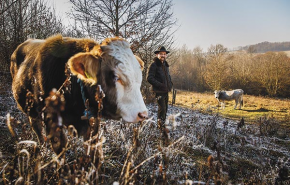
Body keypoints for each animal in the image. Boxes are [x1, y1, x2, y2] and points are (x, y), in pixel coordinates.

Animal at [10, 34, 148, 153]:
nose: (142, 114)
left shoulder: (93, 124)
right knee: (37, 127)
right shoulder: (51, 121)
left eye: (139, 76)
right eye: (114, 76)